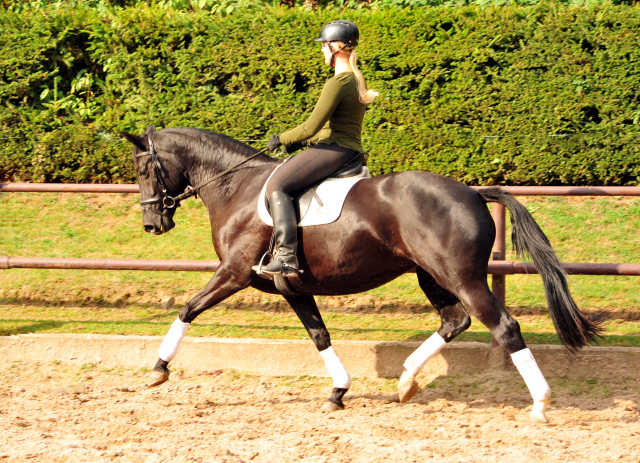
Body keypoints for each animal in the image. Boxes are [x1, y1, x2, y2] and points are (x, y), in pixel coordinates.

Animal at [122, 125, 604, 422]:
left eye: (144, 169)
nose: (151, 224)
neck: (235, 188)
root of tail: (471, 192)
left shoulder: (234, 273)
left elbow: (188, 309)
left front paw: (158, 368)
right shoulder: (291, 287)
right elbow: (320, 336)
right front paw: (338, 392)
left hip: (461, 277)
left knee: (503, 326)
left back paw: (540, 405)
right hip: (430, 275)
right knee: (455, 321)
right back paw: (407, 381)